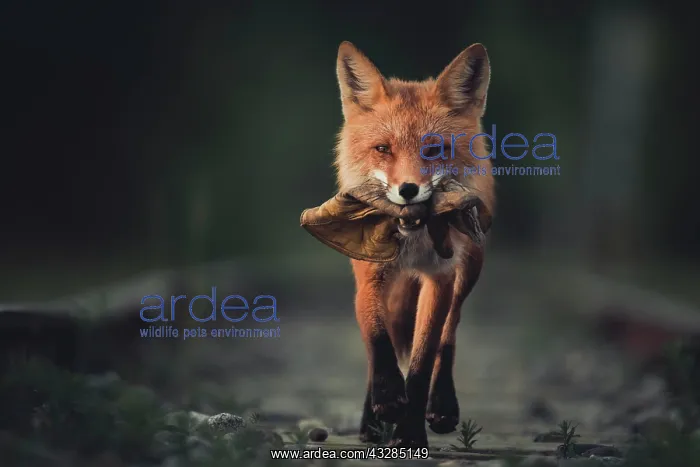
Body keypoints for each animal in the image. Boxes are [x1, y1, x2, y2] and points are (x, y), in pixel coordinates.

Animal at [333, 41, 496, 447]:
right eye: (382, 149)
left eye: (434, 150)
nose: (408, 190)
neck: (413, 242)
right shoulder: (369, 274)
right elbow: (377, 336)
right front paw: (388, 400)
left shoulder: (440, 278)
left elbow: (423, 359)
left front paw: (409, 434)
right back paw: (372, 422)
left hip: (469, 268)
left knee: (450, 331)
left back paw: (441, 406)